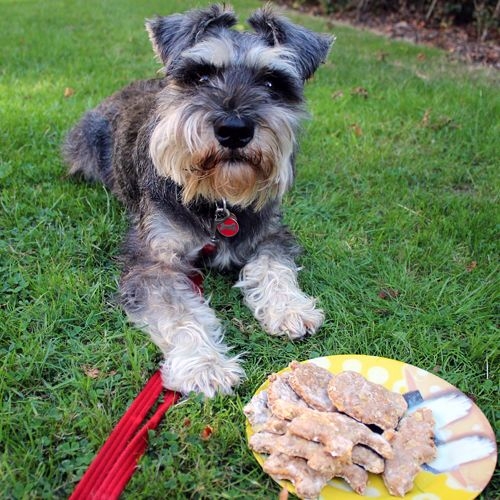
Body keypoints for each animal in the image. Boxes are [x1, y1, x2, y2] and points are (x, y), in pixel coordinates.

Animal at [64, 2, 334, 394]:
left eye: (271, 82)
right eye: (201, 76)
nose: (234, 130)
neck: (217, 203)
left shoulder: (270, 235)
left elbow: (274, 268)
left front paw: (290, 309)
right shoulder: (153, 263)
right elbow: (180, 314)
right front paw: (206, 365)